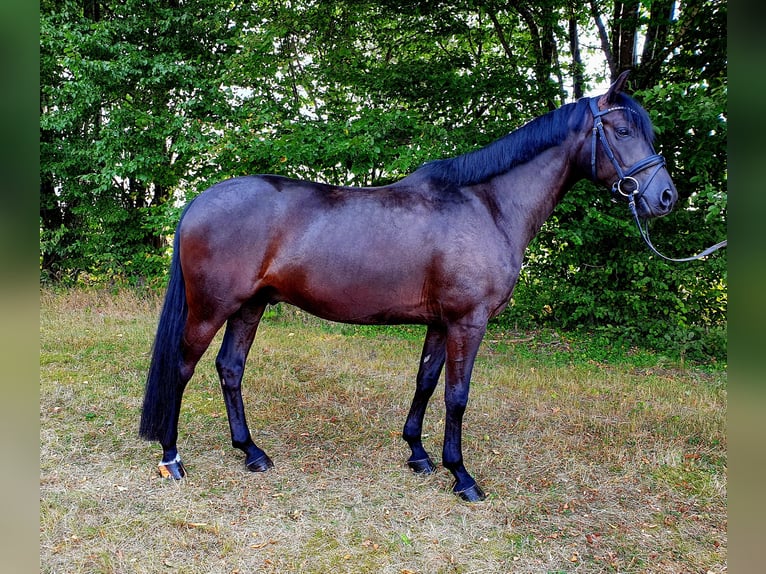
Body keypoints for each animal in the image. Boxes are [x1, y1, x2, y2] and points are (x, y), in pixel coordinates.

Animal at [140, 71, 680, 504]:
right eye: (624, 130)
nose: (665, 197)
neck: (487, 205)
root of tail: (198, 201)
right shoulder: (468, 322)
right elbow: (457, 395)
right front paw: (462, 476)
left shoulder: (441, 322)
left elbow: (426, 381)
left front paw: (419, 454)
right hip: (211, 307)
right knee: (183, 367)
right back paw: (172, 457)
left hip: (250, 306)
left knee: (230, 369)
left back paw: (252, 452)